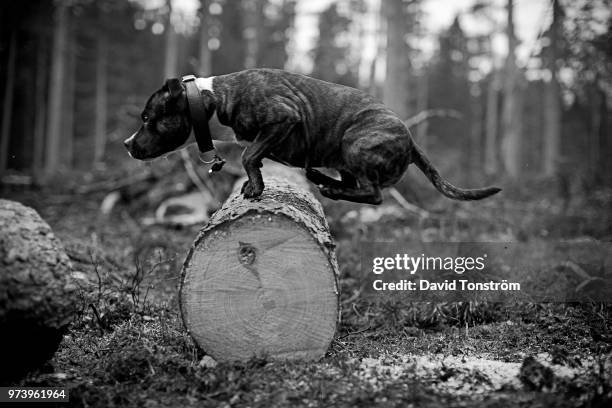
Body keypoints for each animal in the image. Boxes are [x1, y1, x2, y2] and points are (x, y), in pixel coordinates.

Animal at [124, 69, 502, 207]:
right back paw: (323, 178)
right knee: (355, 183)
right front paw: (252, 183)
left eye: (147, 118)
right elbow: (253, 156)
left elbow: (248, 156)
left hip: (356, 142)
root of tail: (411, 141)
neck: (210, 99)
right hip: (343, 154)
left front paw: (256, 187)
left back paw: (330, 187)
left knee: (374, 194)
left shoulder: (283, 118)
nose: (126, 144)